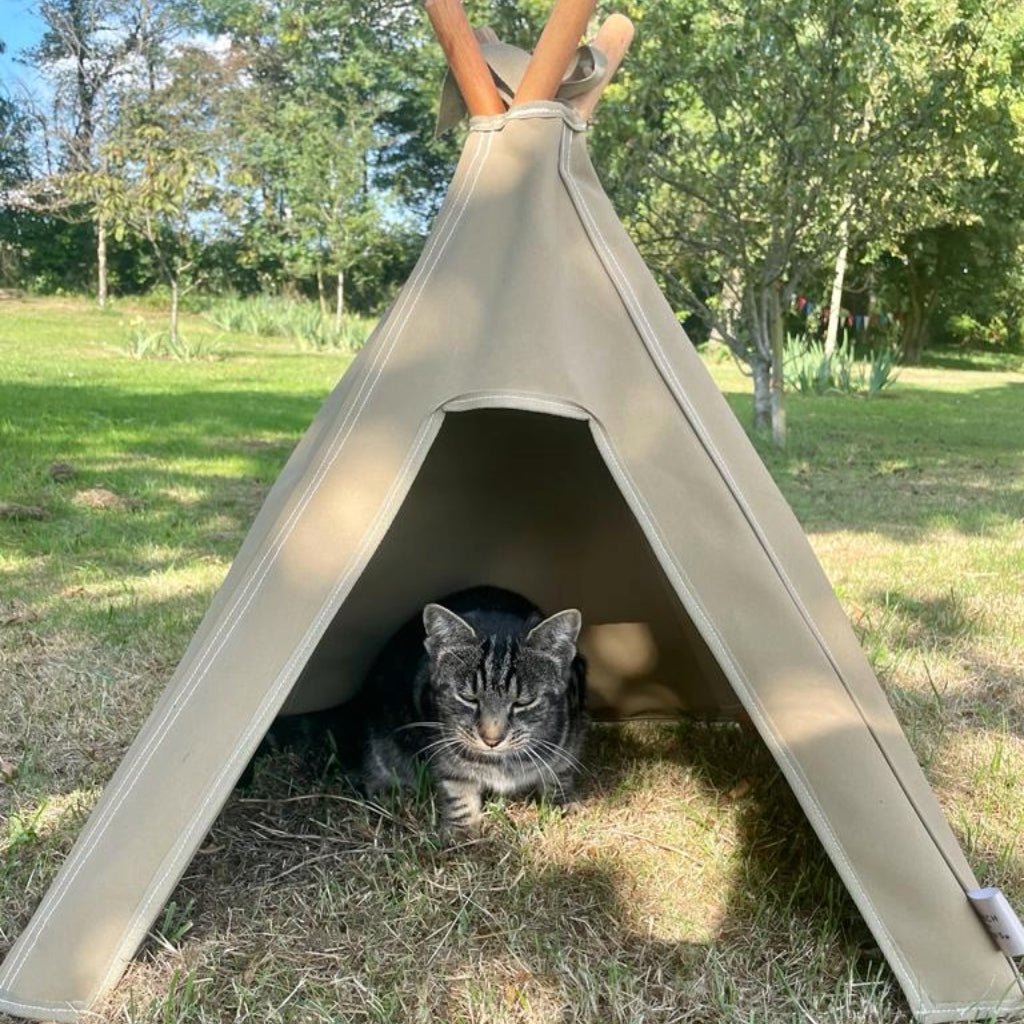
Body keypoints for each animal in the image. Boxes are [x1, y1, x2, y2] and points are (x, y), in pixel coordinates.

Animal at [358, 589, 589, 835]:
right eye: (468, 698)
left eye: (523, 702)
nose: (491, 740)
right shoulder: (444, 754)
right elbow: (457, 790)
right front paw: (462, 832)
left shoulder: (572, 735)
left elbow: (561, 771)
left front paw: (563, 804)